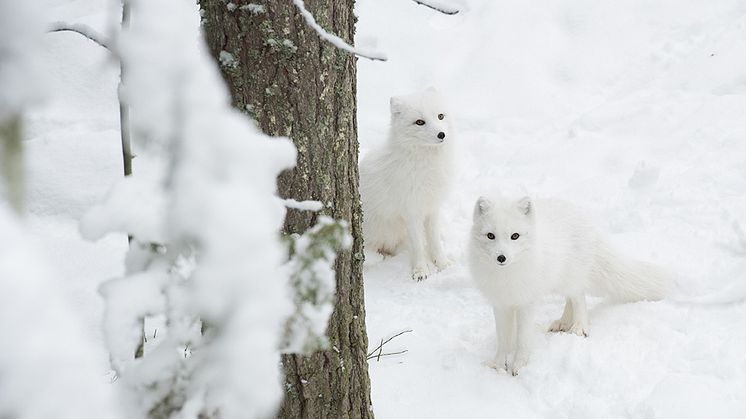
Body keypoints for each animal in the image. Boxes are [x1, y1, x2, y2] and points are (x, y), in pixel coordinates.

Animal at [358, 86, 450, 280]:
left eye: (440, 116)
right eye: (420, 122)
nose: (442, 134)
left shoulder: (432, 206)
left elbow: (435, 240)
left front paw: (443, 264)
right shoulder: (411, 210)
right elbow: (418, 245)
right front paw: (420, 271)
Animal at [464, 195, 668, 376]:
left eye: (515, 236)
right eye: (490, 235)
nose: (501, 257)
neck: (506, 277)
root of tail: (585, 220)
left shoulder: (527, 303)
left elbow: (522, 339)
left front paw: (519, 366)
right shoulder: (500, 304)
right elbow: (503, 339)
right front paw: (498, 365)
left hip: (570, 278)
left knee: (579, 297)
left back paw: (580, 327)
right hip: (560, 281)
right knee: (571, 298)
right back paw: (563, 323)